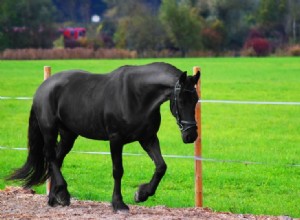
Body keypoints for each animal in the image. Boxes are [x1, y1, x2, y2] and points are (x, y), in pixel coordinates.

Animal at [9, 61, 200, 211]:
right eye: (181, 100)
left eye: (196, 100)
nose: (191, 135)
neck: (137, 95)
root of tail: (44, 87)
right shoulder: (116, 140)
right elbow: (118, 171)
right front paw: (118, 204)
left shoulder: (148, 138)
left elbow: (161, 166)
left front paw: (141, 194)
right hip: (49, 130)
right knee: (50, 156)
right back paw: (63, 193)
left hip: (68, 135)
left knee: (57, 158)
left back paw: (54, 198)